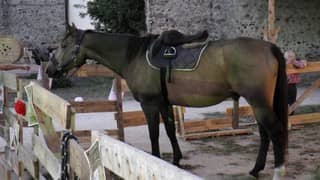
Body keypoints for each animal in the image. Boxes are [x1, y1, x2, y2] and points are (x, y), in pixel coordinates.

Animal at [46, 25, 288, 179]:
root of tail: (269, 47)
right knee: (265, 133)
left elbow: (154, 134)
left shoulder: (150, 104)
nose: (49, 69)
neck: (133, 56)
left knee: (275, 131)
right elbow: (171, 130)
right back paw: (256, 169)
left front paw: (155, 160)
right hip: (259, 103)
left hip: (258, 102)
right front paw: (177, 159)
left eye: (63, 44)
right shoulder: (164, 103)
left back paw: (278, 171)